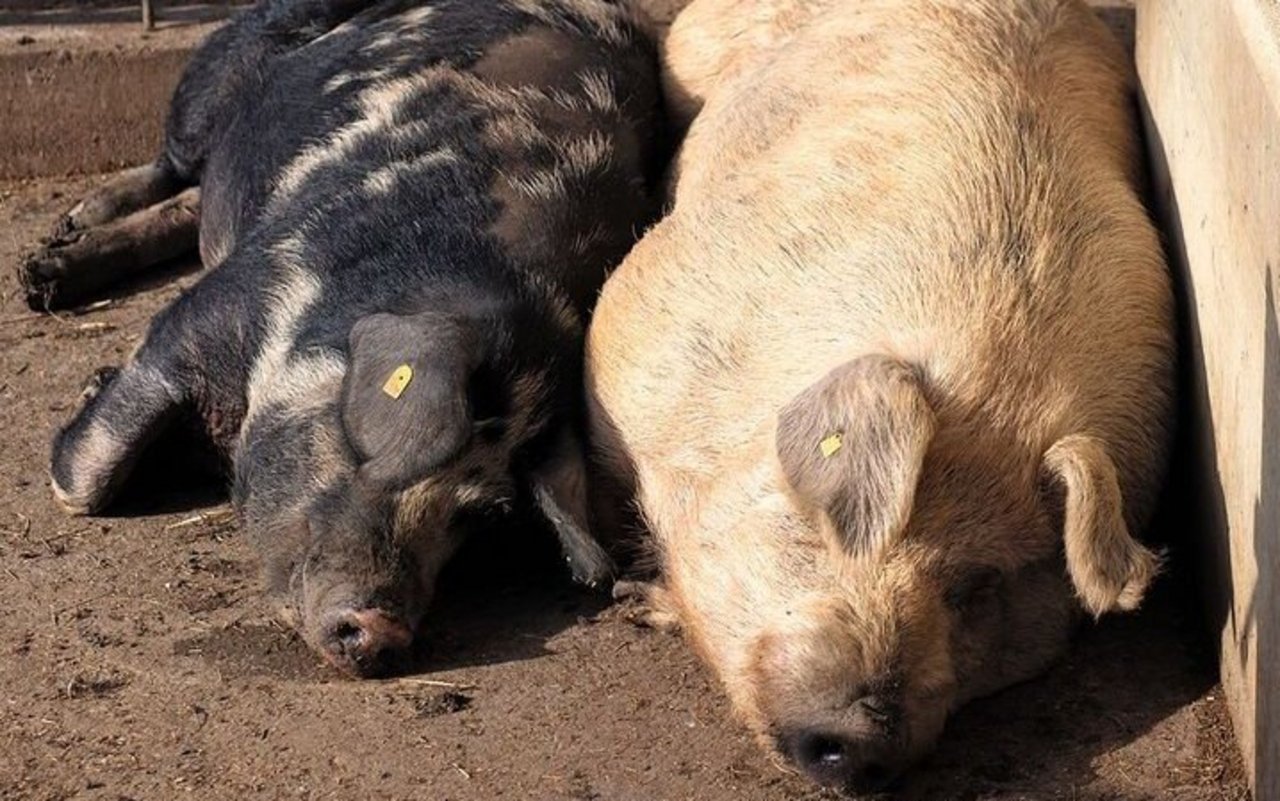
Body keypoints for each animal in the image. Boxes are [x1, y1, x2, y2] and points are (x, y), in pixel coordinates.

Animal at [45, 0, 665, 675]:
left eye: (478, 513)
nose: (381, 629)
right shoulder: (225, 299)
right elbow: (85, 481)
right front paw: (91, 393)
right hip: (218, 72)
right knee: (174, 168)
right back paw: (60, 242)